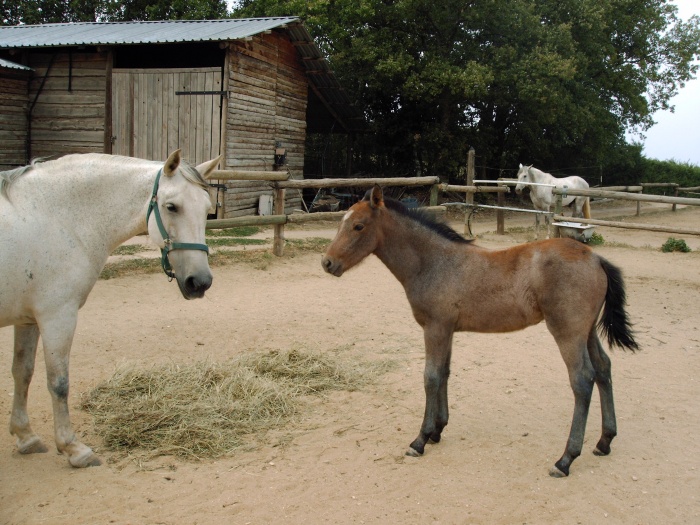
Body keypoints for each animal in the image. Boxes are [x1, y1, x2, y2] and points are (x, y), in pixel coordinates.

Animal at [0, 148, 219, 466]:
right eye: (172, 207)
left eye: (206, 210)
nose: (199, 282)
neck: (56, 218)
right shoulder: (57, 316)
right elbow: (58, 382)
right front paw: (73, 448)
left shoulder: (28, 319)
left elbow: (22, 372)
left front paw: (25, 436)